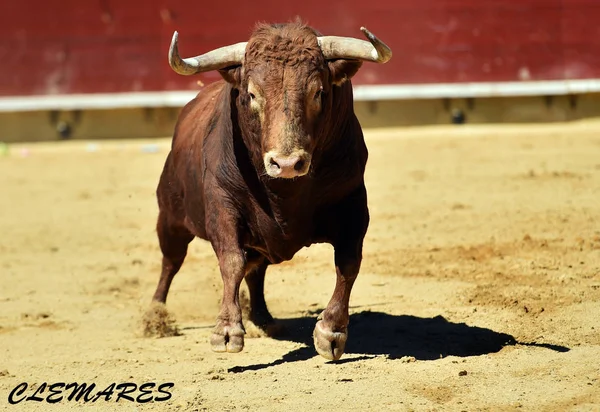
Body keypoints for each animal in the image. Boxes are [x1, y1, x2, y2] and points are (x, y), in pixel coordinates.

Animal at [150, 20, 392, 358]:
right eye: (252, 94)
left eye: (319, 92)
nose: (287, 163)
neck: (285, 196)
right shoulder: (222, 204)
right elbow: (231, 260)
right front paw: (227, 330)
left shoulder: (354, 202)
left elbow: (348, 262)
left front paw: (331, 332)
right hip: (170, 217)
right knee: (171, 261)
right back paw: (155, 316)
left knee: (256, 271)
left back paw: (264, 318)